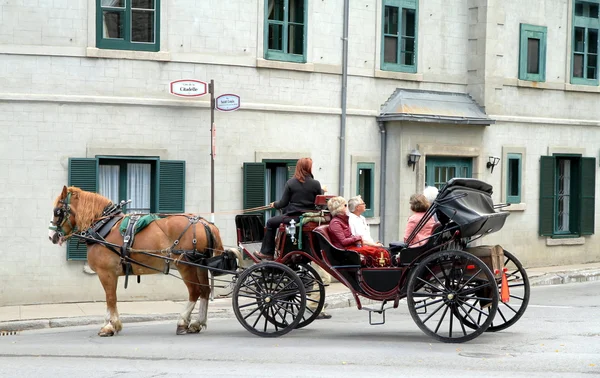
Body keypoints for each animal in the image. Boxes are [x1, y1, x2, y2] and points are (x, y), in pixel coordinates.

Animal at [48, 186, 227, 336]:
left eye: (57, 211)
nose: (52, 236)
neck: (102, 227)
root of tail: (204, 222)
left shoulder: (106, 273)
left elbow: (110, 298)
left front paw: (110, 326)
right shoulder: (111, 274)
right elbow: (110, 298)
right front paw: (111, 323)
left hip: (185, 265)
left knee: (195, 292)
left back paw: (182, 322)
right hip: (199, 266)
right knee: (205, 291)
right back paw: (197, 323)